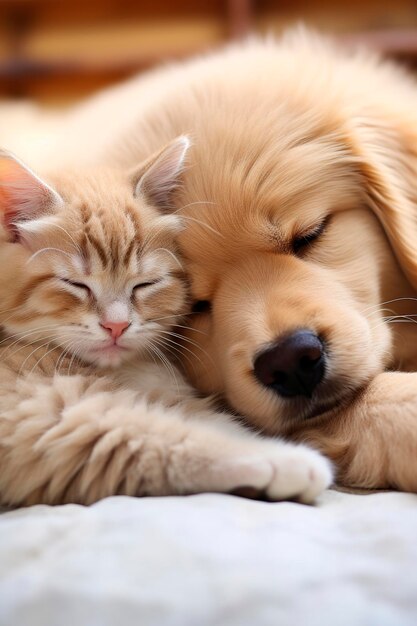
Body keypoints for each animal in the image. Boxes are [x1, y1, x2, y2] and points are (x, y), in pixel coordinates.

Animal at [0, 138, 332, 508]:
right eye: (77, 285)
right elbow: (158, 433)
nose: (116, 326)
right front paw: (282, 459)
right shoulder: (39, 411)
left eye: (145, 284)